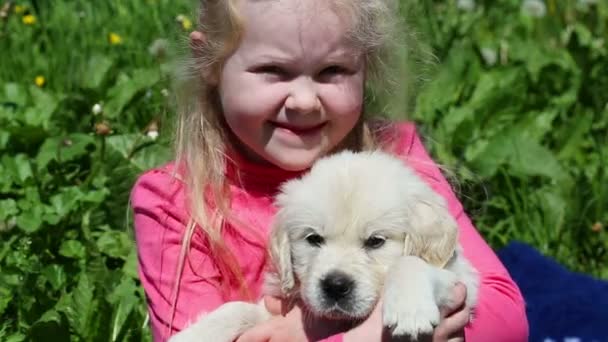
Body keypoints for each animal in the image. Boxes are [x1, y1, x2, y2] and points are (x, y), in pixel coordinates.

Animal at [169, 150, 478, 342]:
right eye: (313, 239)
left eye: (375, 241)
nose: (335, 286)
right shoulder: (278, 309)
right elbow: (238, 308)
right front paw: (193, 335)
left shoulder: (459, 284)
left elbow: (411, 262)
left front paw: (409, 309)